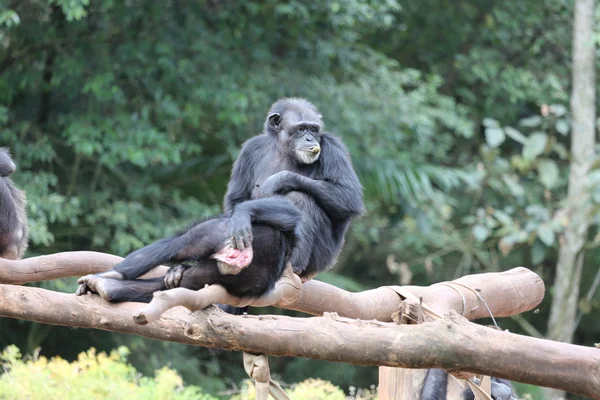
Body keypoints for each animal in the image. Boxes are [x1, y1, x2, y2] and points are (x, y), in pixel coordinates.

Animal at [75, 99, 366, 304]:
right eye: (301, 129)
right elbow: (236, 198)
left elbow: (348, 196)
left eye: (314, 129)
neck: (282, 148)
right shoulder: (249, 150)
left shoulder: (333, 146)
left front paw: (278, 180)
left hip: (319, 259)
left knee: (300, 196)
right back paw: (113, 280)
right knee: (189, 247)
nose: (310, 138)